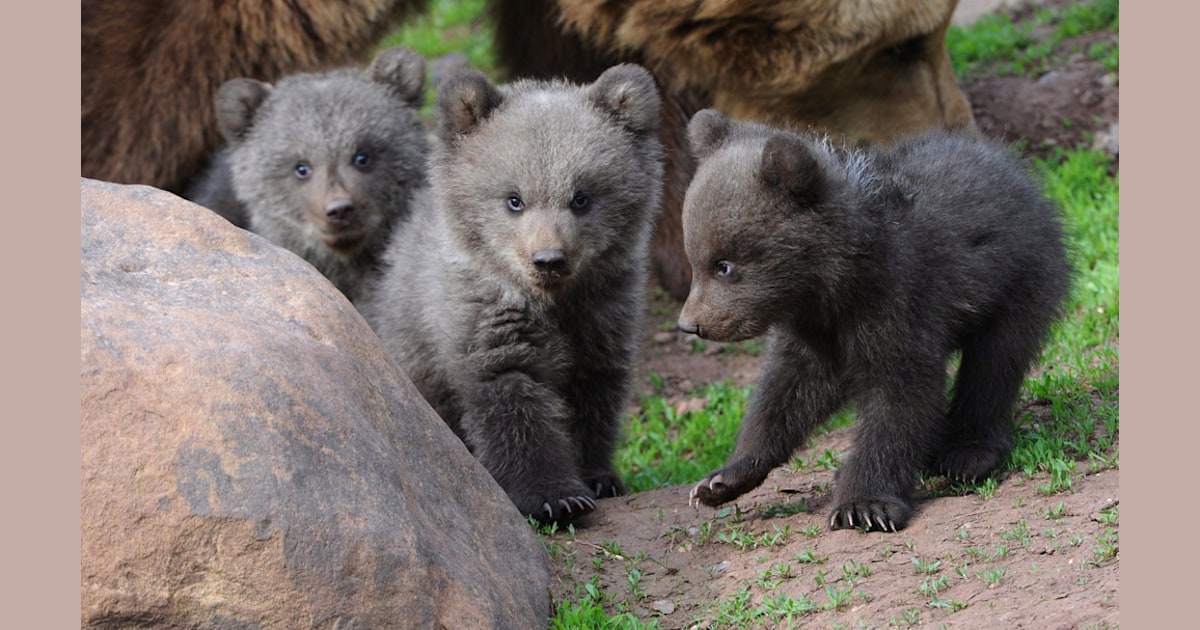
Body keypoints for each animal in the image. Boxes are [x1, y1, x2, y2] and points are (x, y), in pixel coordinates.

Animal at [358, 63, 664, 523]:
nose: (549, 259)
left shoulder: (602, 317)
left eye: (582, 197)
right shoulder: (485, 325)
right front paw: (554, 495)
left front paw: (598, 476)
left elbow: (593, 401)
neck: (554, 305)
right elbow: (513, 408)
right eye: (514, 199)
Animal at [677, 109, 1071, 532]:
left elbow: (899, 395)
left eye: (724, 265)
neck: (834, 283)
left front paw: (863, 504)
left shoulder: (897, 302)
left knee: (995, 365)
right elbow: (785, 394)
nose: (691, 325)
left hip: (1019, 281)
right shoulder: (815, 331)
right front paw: (720, 479)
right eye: (695, 261)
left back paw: (967, 452)